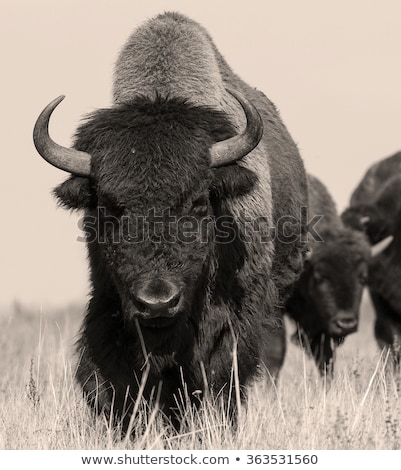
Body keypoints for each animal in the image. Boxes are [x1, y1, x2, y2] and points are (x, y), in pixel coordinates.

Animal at [32, 11, 306, 430]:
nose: (157, 302)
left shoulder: (235, 317)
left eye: (198, 201)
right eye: (107, 205)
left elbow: (220, 376)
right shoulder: (107, 306)